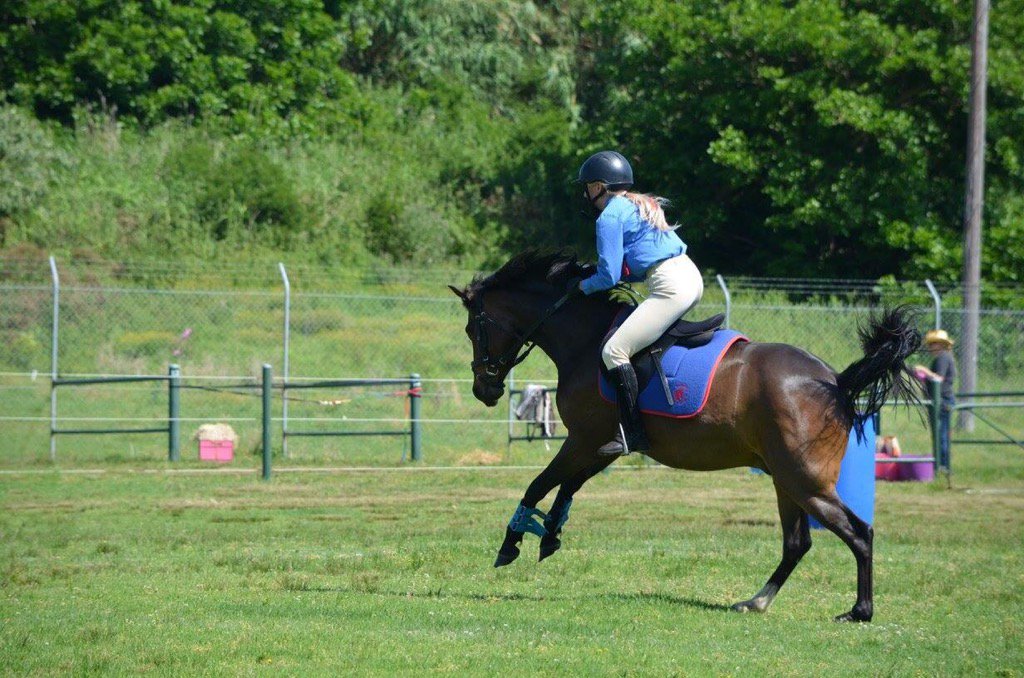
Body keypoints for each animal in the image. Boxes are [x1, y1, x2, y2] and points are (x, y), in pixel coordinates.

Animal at [448, 251, 920, 622]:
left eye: (473, 330)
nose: (484, 390)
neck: (583, 341)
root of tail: (834, 382)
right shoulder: (604, 445)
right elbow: (568, 487)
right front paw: (549, 535)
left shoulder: (582, 439)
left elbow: (540, 484)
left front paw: (512, 542)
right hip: (785, 479)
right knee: (797, 543)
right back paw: (756, 601)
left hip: (804, 480)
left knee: (858, 533)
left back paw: (859, 611)